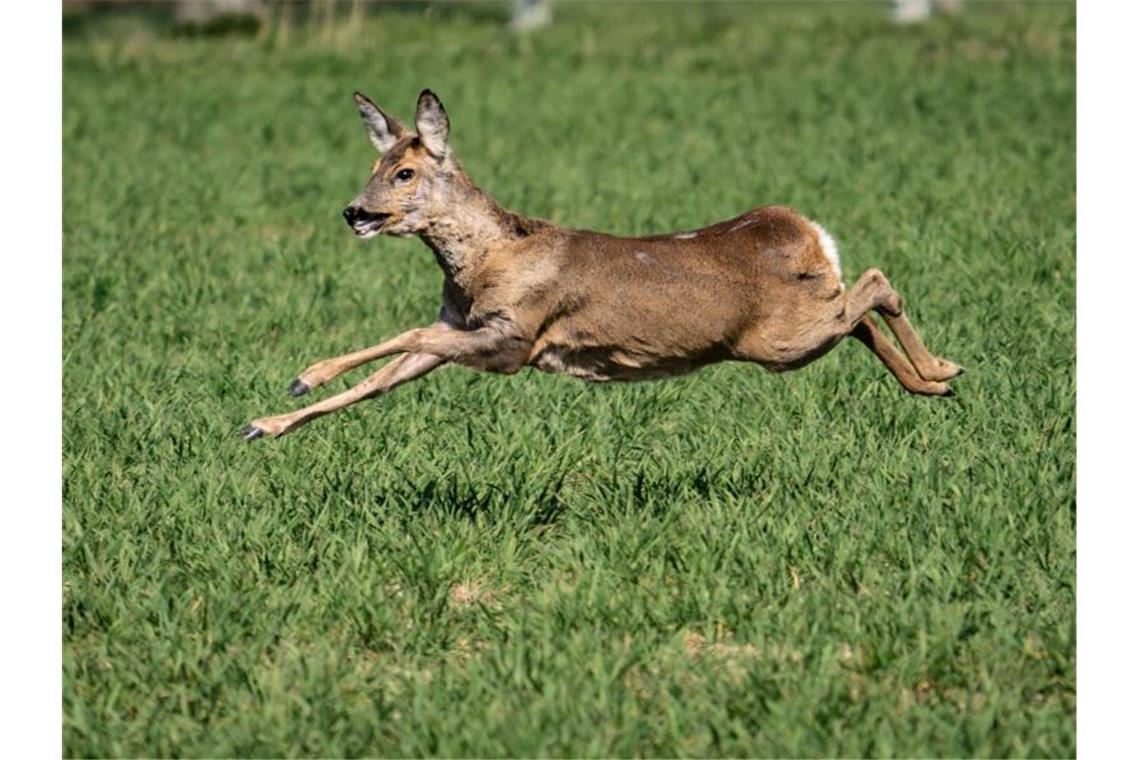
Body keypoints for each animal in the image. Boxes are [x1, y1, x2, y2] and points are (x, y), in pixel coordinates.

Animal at [242, 90, 962, 446]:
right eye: (374, 164)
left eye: (404, 173)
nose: (354, 212)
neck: (492, 259)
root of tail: (807, 230)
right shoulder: (465, 326)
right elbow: (385, 378)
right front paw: (263, 424)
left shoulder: (515, 336)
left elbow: (406, 337)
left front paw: (302, 377)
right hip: (798, 329)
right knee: (858, 313)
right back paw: (933, 384)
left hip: (777, 340)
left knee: (876, 284)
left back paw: (941, 370)